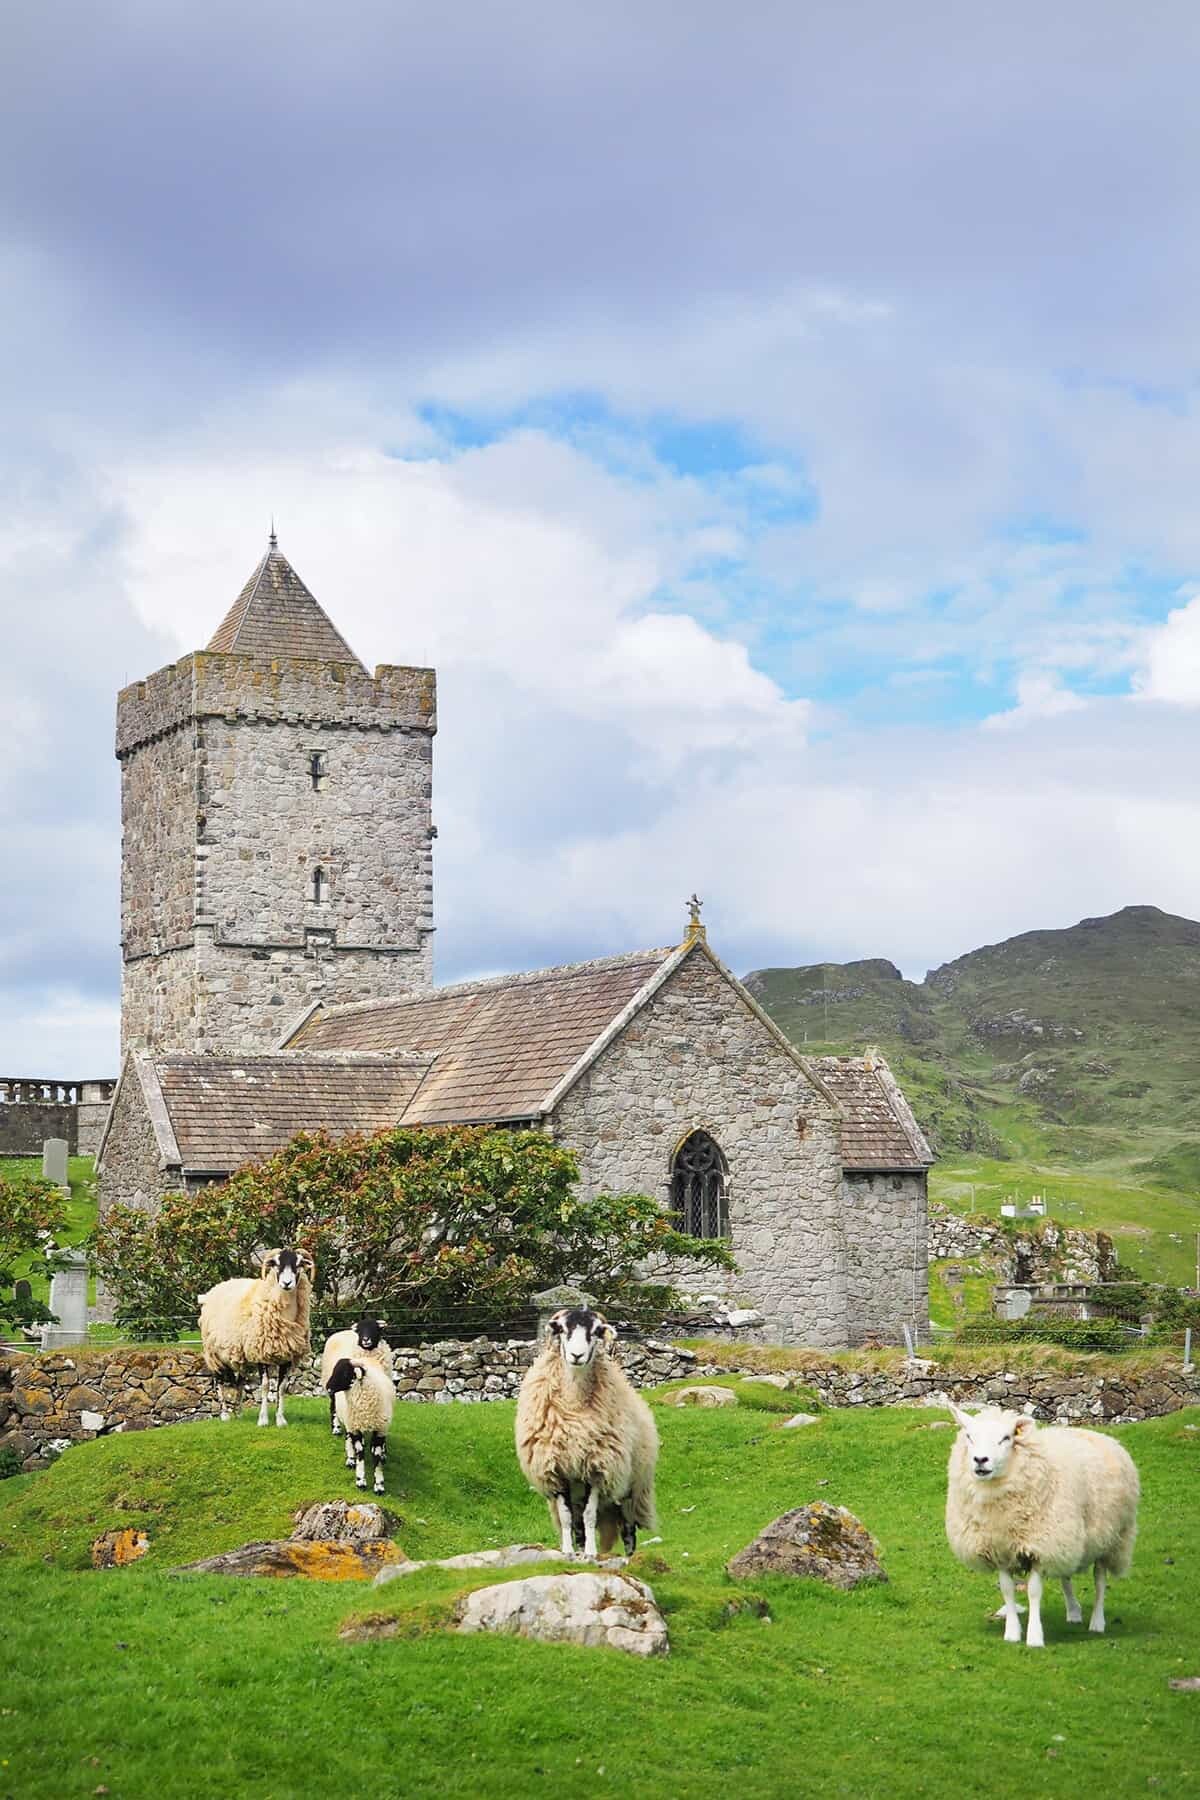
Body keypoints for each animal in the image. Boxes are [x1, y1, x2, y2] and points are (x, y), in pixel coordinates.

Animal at [197, 1245, 313, 1425]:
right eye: (276, 1263)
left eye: (299, 1263)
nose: (287, 1283)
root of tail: (216, 1288)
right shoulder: (261, 1353)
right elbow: (265, 1385)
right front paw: (263, 1420)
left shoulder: (287, 1355)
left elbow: (281, 1388)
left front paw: (280, 1420)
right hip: (213, 1352)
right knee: (218, 1380)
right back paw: (225, 1414)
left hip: (239, 1355)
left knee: (240, 1381)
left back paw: (238, 1412)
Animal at [325, 1353, 395, 1497]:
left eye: (345, 1373)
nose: (328, 1388)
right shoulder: (355, 1428)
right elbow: (360, 1452)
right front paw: (361, 1480)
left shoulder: (380, 1429)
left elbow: (377, 1457)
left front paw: (379, 1485)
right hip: (347, 1418)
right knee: (345, 1433)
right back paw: (350, 1458)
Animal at [510, 1310, 658, 1562]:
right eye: (562, 1329)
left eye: (596, 1331)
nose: (576, 1355)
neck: (574, 1405)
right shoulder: (556, 1472)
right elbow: (566, 1517)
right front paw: (568, 1552)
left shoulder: (597, 1470)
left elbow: (590, 1514)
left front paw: (590, 1553)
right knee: (578, 1524)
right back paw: (578, 1549)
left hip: (631, 1490)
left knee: (628, 1530)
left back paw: (628, 1560)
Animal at [942, 1396, 1144, 1648]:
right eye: (969, 1436)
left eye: (1006, 1438)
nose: (980, 1460)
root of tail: (1099, 1434)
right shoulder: (1001, 1549)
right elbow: (1007, 1590)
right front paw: (1012, 1633)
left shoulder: (1038, 1547)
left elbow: (1034, 1592)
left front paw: (1035, 1637)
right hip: (1065, 1537)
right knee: (1066, 1575)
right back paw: (1074, 1612)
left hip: (1109, 1538)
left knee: (1099, 1580)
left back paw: (1097, 1622)